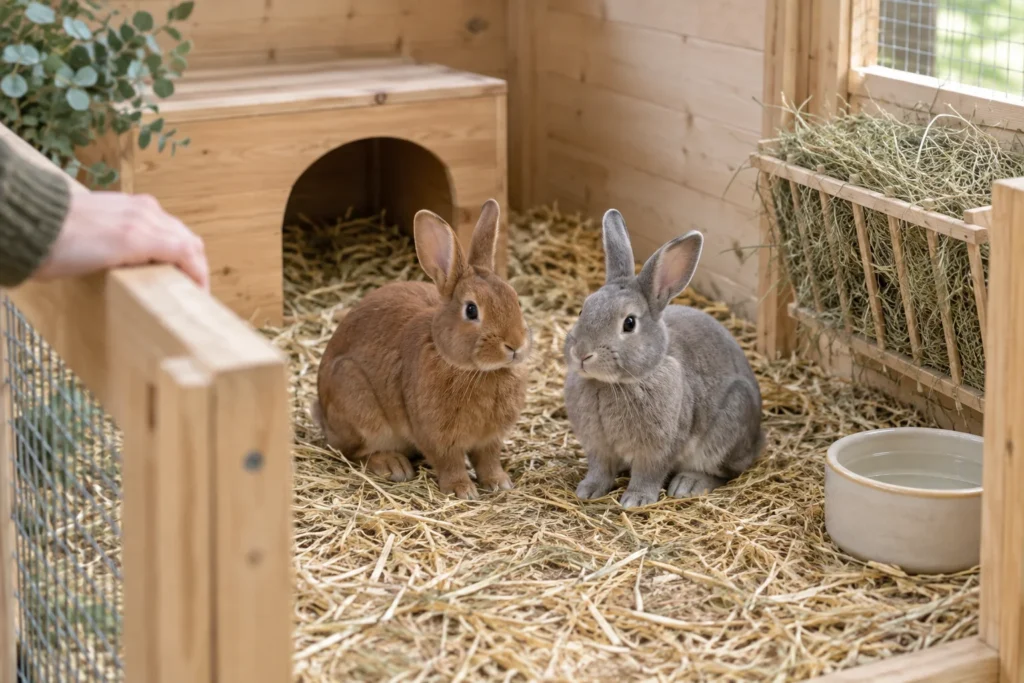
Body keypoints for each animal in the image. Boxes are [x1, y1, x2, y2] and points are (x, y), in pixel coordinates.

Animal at [313, 199, 532, 500]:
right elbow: (449, 462)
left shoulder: (490, 439)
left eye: (516, 300)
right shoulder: (437, 436)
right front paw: (462, 490)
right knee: (356, 453)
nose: (515, 345)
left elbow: (488, 460)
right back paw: (393, 465)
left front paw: (499, 483)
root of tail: (323, 415)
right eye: (471, 310)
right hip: (355, 399)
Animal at [563, 209, 765, 509]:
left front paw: (635, 500)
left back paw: (688, 484)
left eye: (629, 323)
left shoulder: (658, 449)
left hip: (727, 427)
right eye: (582, 310)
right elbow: (600, 469)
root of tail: (757, 439)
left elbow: (649, 473)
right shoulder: (598, 447)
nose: (582, 354)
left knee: (724, 473)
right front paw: (588, 490)